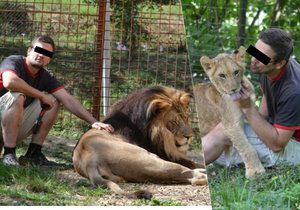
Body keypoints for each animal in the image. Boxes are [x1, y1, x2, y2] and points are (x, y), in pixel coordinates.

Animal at [73, 86, 207, 199]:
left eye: (186, 118)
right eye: (174, 122)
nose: (189, 136)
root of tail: (89, 160)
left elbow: (195, 163)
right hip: (147, 159)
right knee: (187, 174)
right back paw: (203, 176)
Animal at [192, 46, 264, 179]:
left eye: (236, 72)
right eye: (222, 75)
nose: (233, 89)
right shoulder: (231, 125)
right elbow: (247, 148)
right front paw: (256, 172)